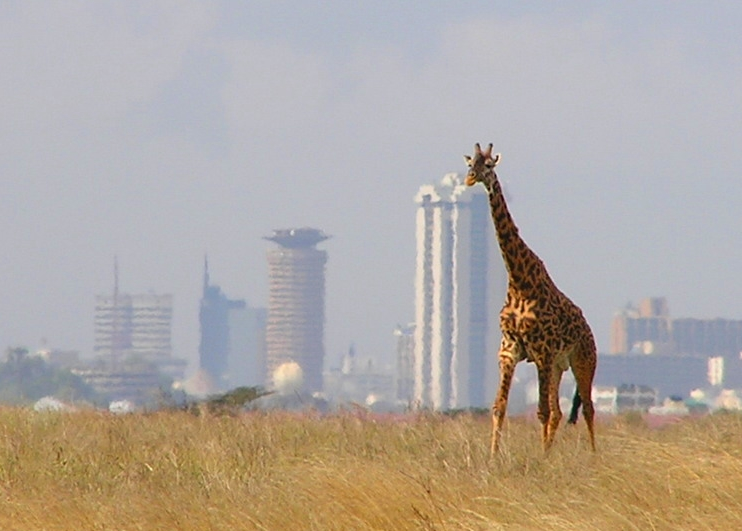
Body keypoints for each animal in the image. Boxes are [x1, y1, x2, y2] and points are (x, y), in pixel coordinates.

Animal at [464, 142, 600, 458]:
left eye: (489, 165)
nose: (470, 178)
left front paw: (542, 459)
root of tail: (588, 329)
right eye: (469, 163)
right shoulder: (509, 350)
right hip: (559, 366)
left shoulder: (542, 351)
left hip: (583, 360)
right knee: (561, 411)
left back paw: (593, 455)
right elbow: (499, 407)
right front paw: (493, 456)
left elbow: (541, 411)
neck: (519, 282)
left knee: (587, 408)